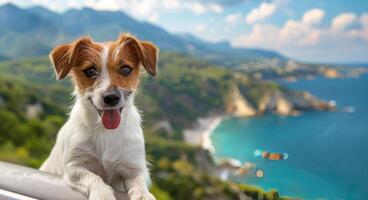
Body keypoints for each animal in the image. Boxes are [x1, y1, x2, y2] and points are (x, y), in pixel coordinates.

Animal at [40, 33, 158, 200]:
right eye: (90, 71)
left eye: (126, 69)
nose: (111, 98)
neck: (105, 131)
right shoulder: (74, 167)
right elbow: (94, 177)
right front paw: (102, 194)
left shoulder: (134, 167)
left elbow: (139, 182)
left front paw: (143, 195)